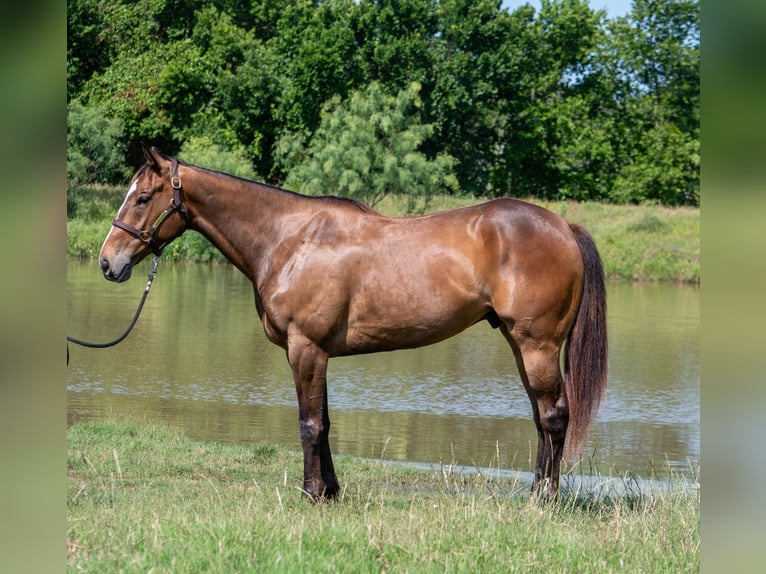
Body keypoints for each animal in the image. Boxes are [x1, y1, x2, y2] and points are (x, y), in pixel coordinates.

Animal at [99, 144, 608, 500]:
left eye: (143, 198)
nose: (108, 262)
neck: (290, 240)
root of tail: (563, 226)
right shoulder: (316, 352)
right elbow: (324, 420)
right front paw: (330, 491)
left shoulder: (305, 348)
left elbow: (309, 422)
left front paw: (310, 493)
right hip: (521, 346)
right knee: (541, 419)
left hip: (537, 345)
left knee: (554, 416)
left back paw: (544, 500)